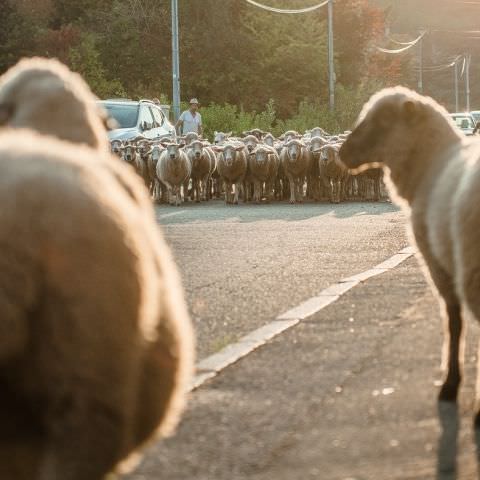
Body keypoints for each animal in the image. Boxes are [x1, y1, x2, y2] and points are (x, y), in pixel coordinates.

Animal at [340, 85, 480, 424]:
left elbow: (453, 322)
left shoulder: (439, 265)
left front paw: (450, 385)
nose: (341, 153)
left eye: (382, 120)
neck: (430, 165)